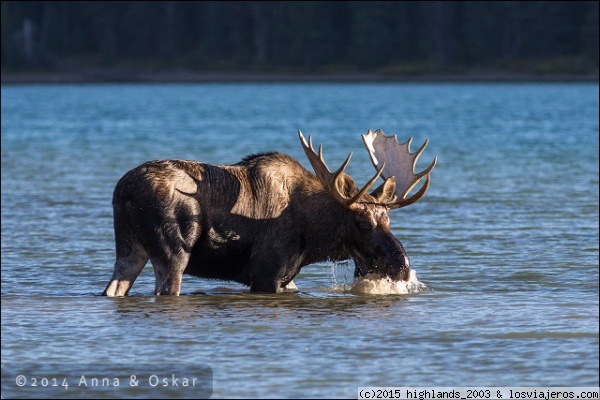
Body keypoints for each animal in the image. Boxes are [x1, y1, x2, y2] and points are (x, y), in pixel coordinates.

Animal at [101, 130, 434, 296]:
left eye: (388, 219)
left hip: (130, 249)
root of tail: (123, 190)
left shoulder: (286, 277)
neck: (315, 238)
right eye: (362, 222)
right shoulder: (265, 273)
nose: (402, 265)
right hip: (173, 254)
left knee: (114, 287)